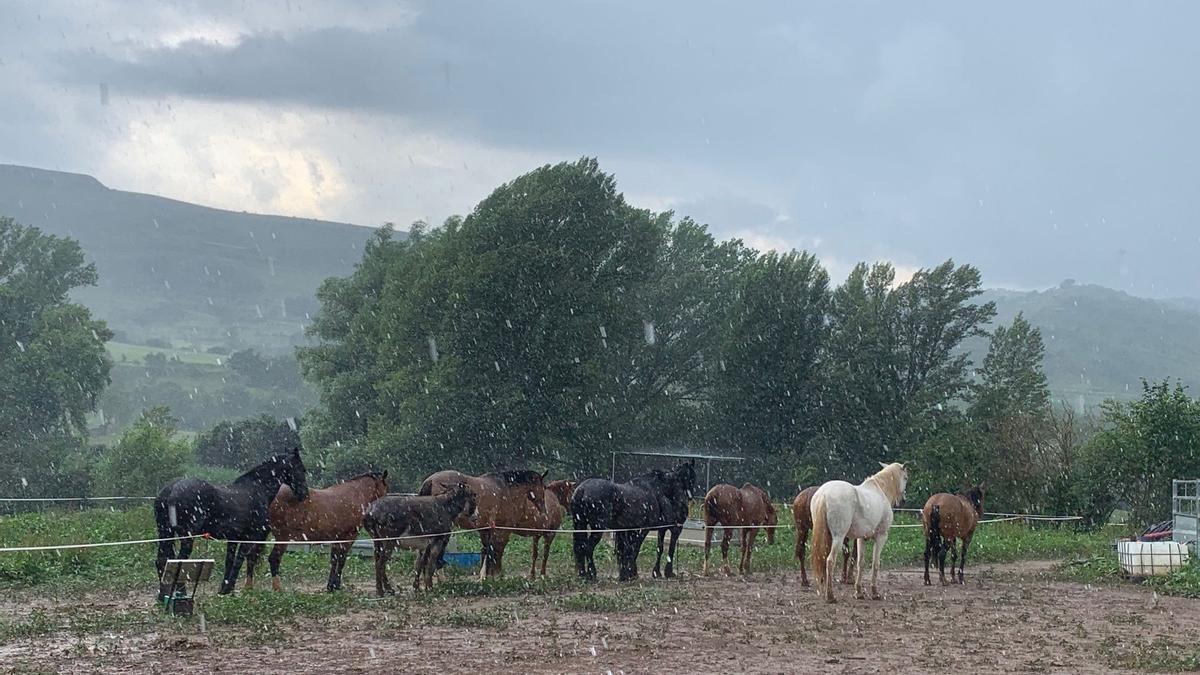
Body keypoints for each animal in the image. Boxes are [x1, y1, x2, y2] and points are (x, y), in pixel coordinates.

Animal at [154, 444, 307, 595]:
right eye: (302, 469)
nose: (304, 494)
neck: (257, 489)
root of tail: (172, 490)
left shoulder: (233, 538)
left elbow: (230, 561)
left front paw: (225, 588)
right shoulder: (249, 537)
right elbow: (239, 560)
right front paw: (228, 588)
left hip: (165, 533)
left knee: (162, 560)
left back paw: (164, 595)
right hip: (187, 537)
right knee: (178, 562)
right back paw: (180, 593)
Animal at [243, 468, 388, 588]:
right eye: (385, 489)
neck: (354, 495)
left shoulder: (336, 538)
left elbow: (334, 559)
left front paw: (330, 586)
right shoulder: (349, 536)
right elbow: (341, 559)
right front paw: (336, 585)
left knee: (251, 556)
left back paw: (248, 588)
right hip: (282, 537)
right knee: (273, 559)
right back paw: (278, 588)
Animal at [417, 466, 549, 576]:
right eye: (543, 488)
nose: (543, 510)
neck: (506, 489)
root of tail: (430, 480)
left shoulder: (486, 529)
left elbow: (487, 550)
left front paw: (485, 576)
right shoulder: (502, 529)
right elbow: (496, 550)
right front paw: (495, 574)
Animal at [568, 458, 696, 581]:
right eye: (691, 477)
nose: (686, 501)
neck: (653, 490)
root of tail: (582, 490)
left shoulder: (628, 529)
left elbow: (626, 550)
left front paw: (627, 574)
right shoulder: (644, 529)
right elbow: (635, 549)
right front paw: (630, 574)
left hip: (579, 523)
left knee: (579, 547)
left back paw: (583, 573)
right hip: (597, 528)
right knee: (588, 548)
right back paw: (592, 574)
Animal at [806, 461, 907, 598]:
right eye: (906, 478)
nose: (904, 499)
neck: (880, 490)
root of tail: (824, 494)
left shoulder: (861, 539)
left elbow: (860, 563)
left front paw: (858, 592)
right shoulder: (881, 536)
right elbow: (875, 563)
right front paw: (875, 592)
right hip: (838, 538)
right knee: (830, 561)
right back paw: (830, 596)